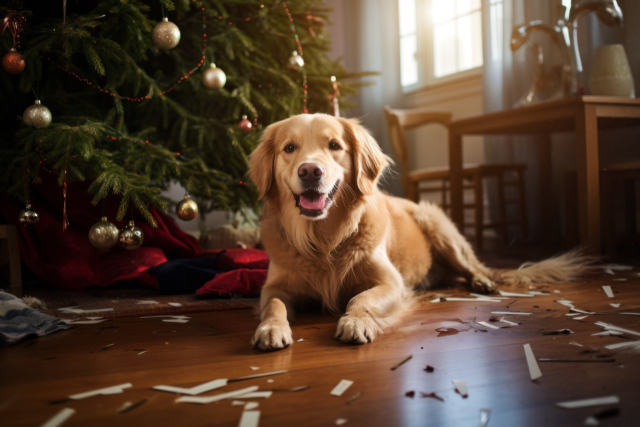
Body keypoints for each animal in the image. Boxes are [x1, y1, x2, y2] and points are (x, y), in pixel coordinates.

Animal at [248, 113, 588, 352]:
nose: (310, 171)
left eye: (334, 146)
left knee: (472, 267)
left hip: (437, 226)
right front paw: (271, 329)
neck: (324, 239)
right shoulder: (274, 286)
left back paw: (483, 281)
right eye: (289, 148)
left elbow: (359, 298)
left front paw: (356, 322)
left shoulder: (392, 283)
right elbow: (274, 305)